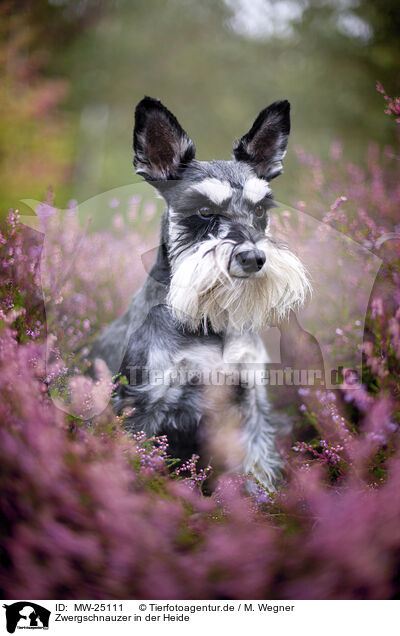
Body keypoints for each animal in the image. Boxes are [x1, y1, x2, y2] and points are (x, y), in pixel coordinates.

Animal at [91, 97, 312, 490]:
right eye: (205, 210)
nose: (253, 258)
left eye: (260, 209)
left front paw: (264, 498)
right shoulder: (141, 404)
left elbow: (257, 460)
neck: (212, 324)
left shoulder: (250, 400)